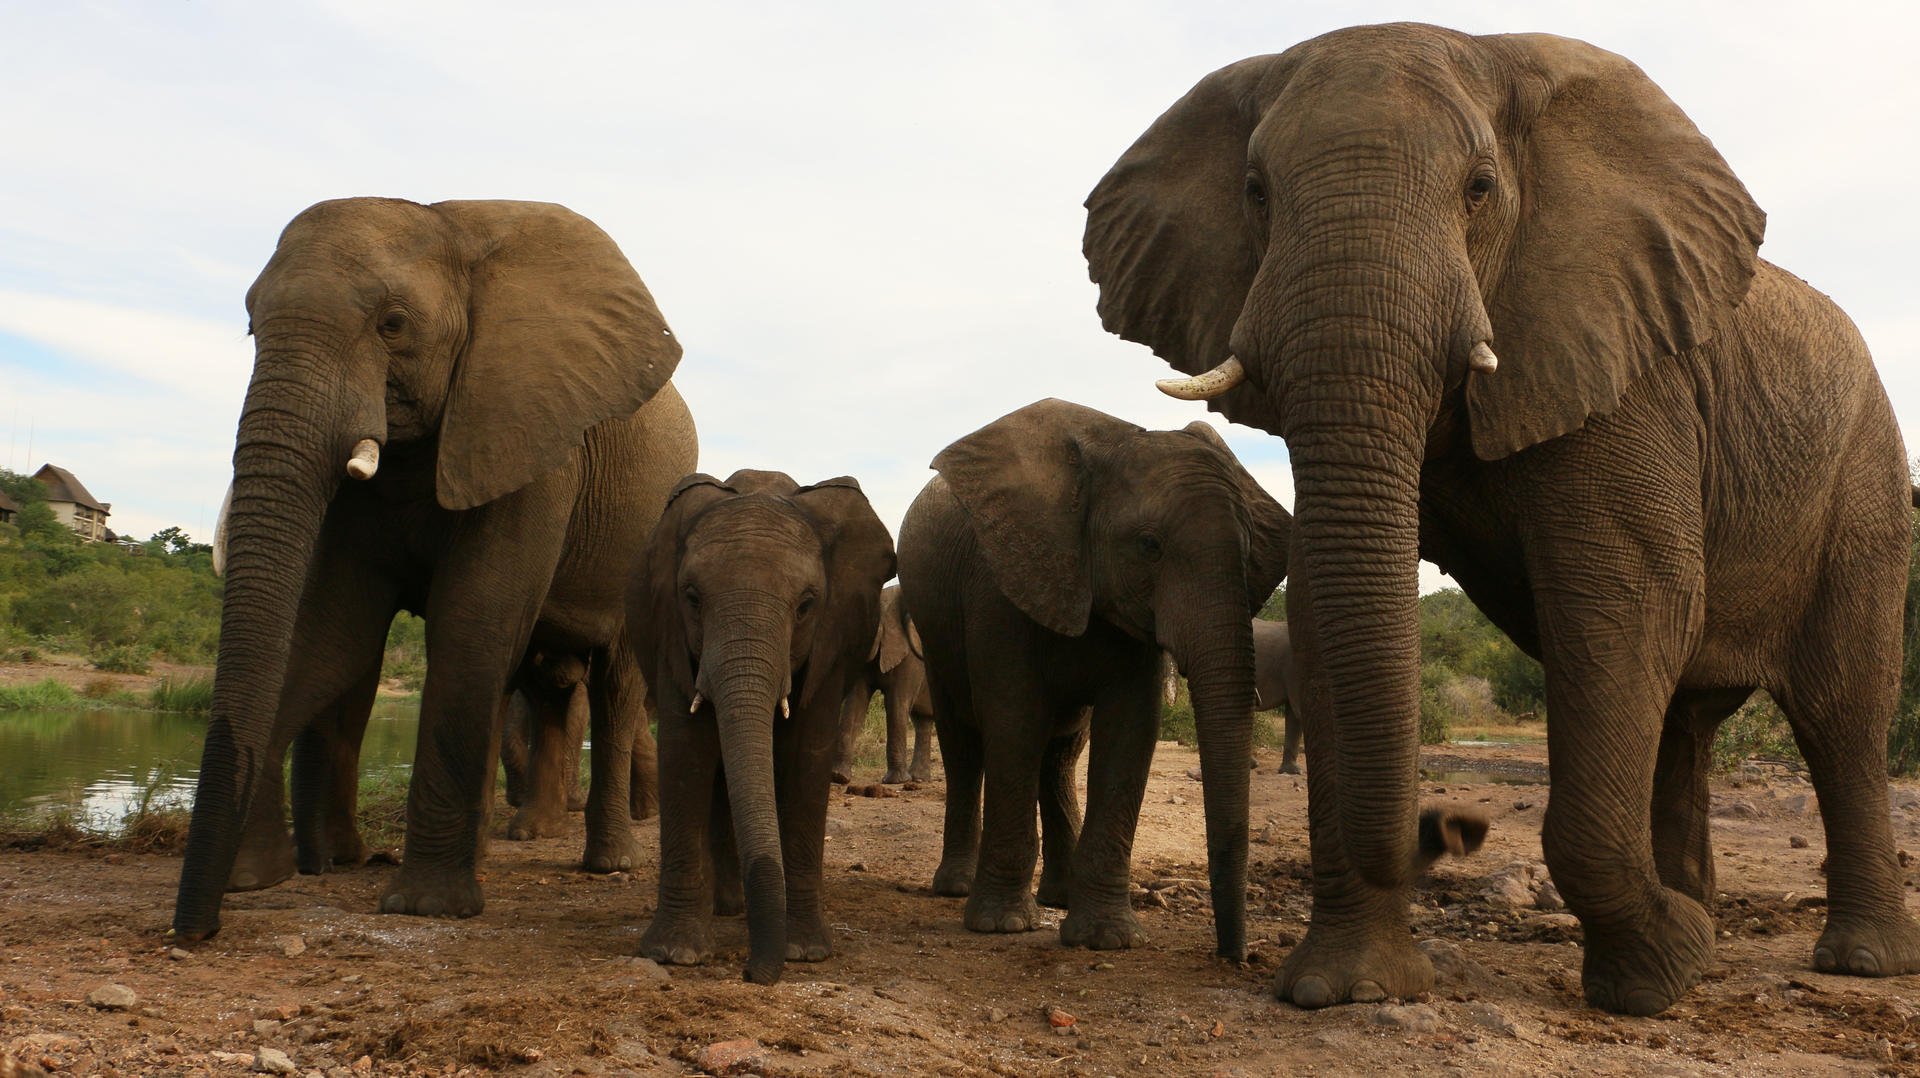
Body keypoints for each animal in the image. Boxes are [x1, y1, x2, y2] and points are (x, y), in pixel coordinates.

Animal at [172, 195, 698, 941]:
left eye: (393, 325)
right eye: (250, 325)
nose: (196, 930)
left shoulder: (531, 432)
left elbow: (472, 619)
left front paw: (426, 906)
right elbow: (336, 633)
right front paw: (258, 877)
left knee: (615, 687)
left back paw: (606, 865)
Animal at [633, 468, 894, 983]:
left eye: (806, 606)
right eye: (692, 599)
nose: (751, 972)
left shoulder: (830, 645)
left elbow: (806, 759)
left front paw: (805, 953)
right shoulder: (671, 635)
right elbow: (686, 752)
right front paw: (674, 955)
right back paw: (727, 909)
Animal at [833, 580, 936, 780]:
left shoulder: (910, 657)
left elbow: (896, 704)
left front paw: (895, 781)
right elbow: (855, 703)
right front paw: (839, 777)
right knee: (923, 721)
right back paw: (919, 778)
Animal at [894, 399, 1290, 953]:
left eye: (1249, 549)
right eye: (1149, 545)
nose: (1235, 957)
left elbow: (1129, 729)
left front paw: (1107, 939)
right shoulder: (999, 584)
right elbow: (1014, 720)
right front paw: (1000, 925)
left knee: (1059, 754)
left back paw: (1057, 897)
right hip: (935, 629)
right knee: (966, 744)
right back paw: (956, 888)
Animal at [1090, 25, 1912, 1014]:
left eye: (1480, 188)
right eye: (1255, 193)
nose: (1449, 827)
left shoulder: (1623, 361)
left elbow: (1624, 602)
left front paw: (1656, 980)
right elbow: (1331, 608)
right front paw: (1349, 990)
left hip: (1865, 477)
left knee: (1841, 711)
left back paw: (1850, 960)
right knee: (1687, 721)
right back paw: (1708, 936)